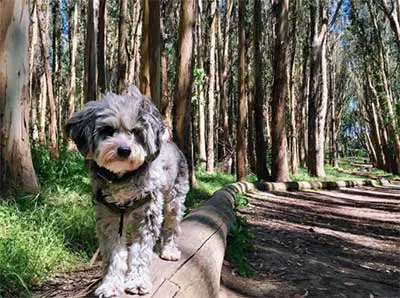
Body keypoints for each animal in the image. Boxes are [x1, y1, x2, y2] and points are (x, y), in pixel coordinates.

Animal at [65, 85, 189, 296]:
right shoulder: (109, 217)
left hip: (175, 199)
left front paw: (138, 281)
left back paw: (169, 250)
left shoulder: (147, 215)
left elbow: (140, 252)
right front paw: (110, 284)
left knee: (172, 225)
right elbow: (113, 255)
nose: (124, 150)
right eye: (108, 130)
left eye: (136, 131)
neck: (122, 178)